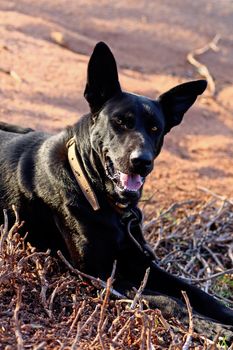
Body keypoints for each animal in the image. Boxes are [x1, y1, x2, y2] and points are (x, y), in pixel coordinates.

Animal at [0, 42, 232, 330]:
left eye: (155, 128)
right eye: (120, 122)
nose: (142, 161)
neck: (91, 187)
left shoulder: (141, 263)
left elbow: (199, 294)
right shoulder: (98, 273)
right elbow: (170, 301)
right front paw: (206, 325)